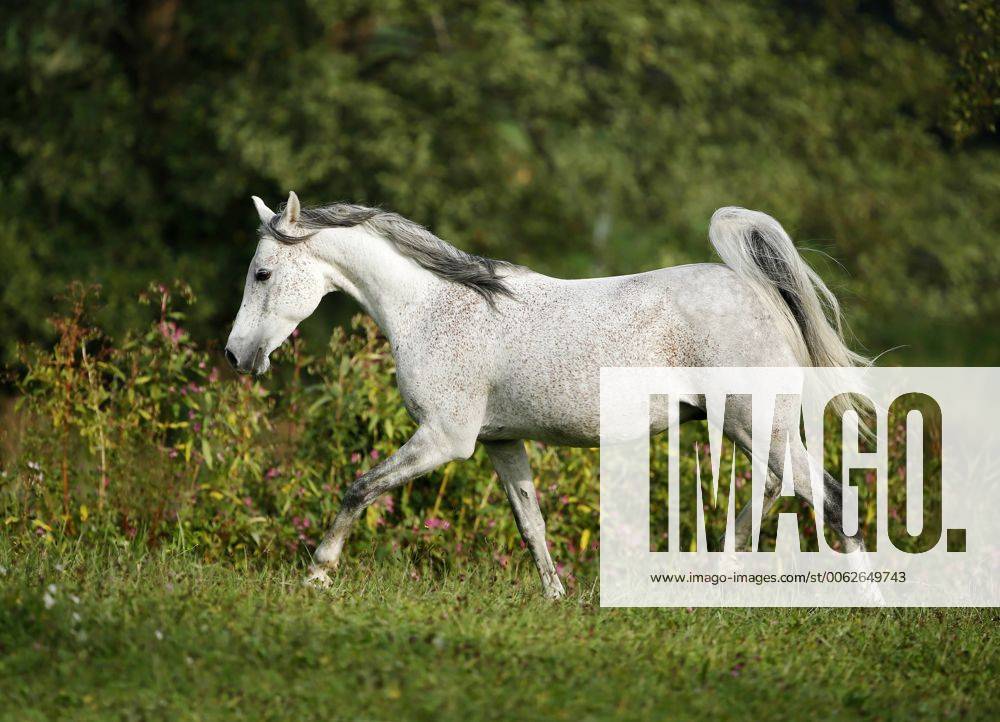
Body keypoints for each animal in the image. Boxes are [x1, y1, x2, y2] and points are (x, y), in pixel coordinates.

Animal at [225, 192, 868, 598]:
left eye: (261, 273)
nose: (236, 355)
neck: (432, 308)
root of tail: (757, 292)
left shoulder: (443, 439)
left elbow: (359, 488)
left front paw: (318, 574)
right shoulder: (501, 443)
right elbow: (530, 524)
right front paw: (556, 596)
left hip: (757, 425)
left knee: (830, 497)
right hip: (750, 428)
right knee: (781, 489)